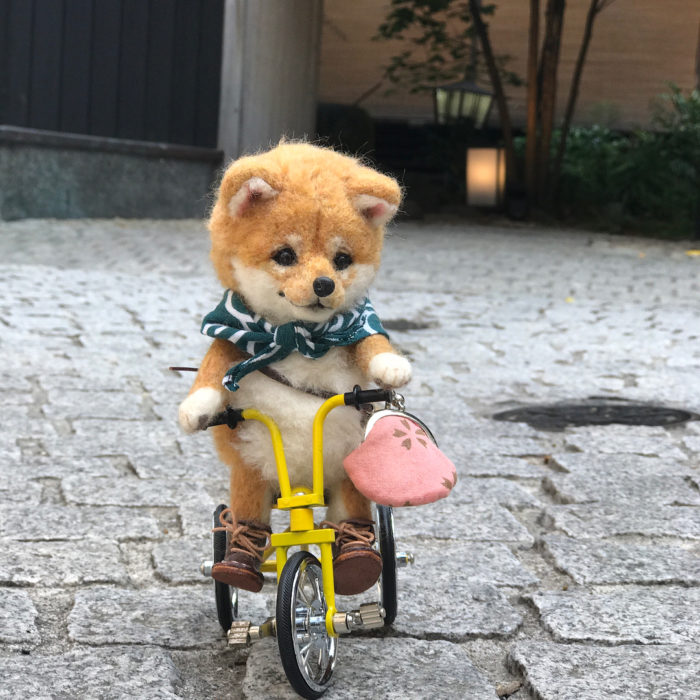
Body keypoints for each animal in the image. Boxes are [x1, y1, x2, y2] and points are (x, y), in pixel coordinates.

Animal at [178, 144, 412, 596]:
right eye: (285, 255)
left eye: (343, 260)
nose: (324, 285)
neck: (299, 335)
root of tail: (303, 485)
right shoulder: (230, 335)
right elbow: (214, 367)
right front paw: (195, 410)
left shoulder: (355, 329)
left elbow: (371, 344)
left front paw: (392, 367)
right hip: (254, 467)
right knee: (248, 512)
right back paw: (238, 562)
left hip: (344, 469)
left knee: (349, 515)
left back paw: (357, 555)